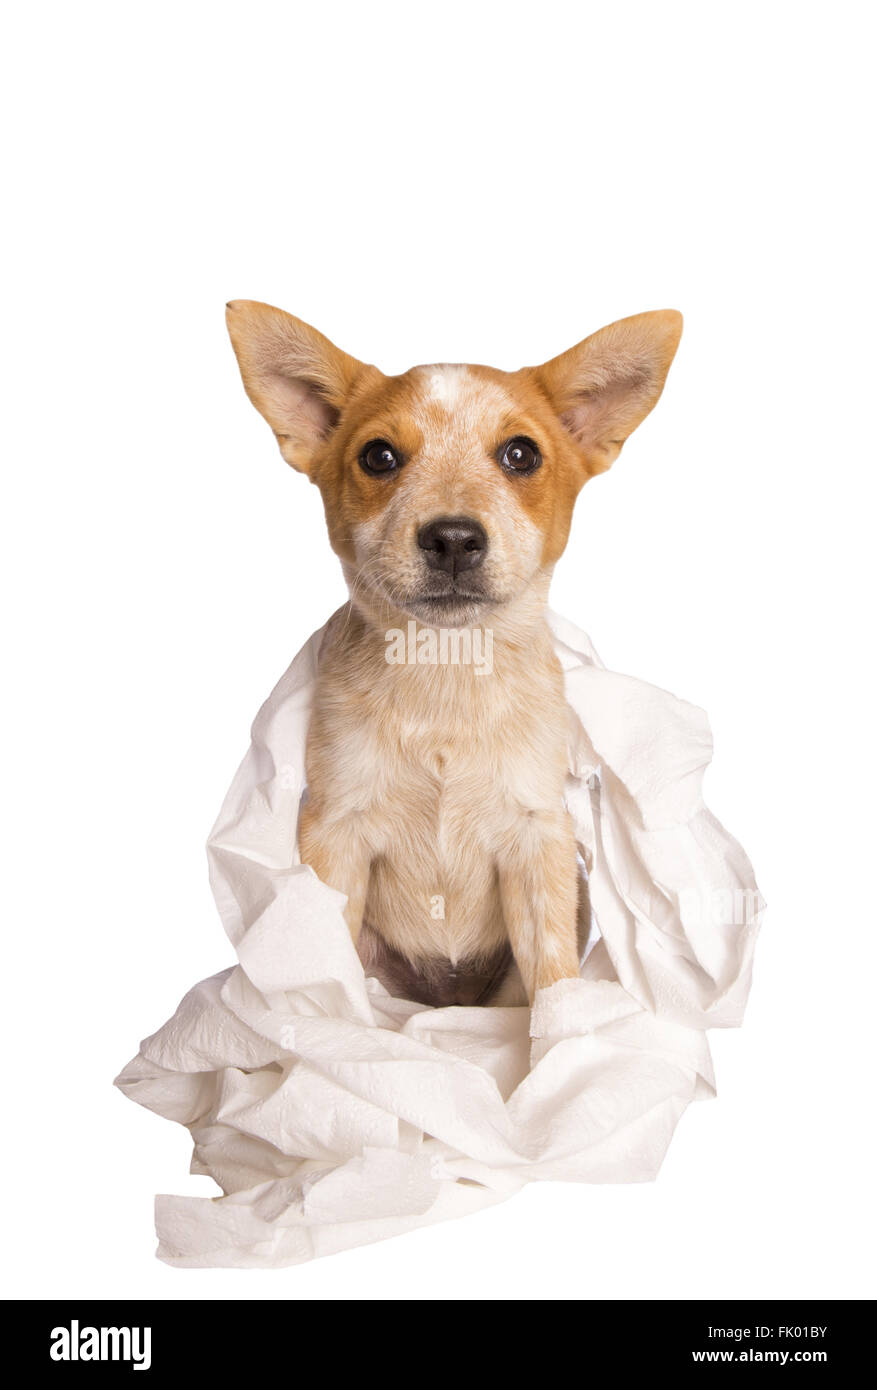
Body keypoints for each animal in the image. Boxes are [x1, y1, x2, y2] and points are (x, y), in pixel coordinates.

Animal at [225, 298, 678, 1006]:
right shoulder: (336, 835)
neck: (447, 671)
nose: (454, 538)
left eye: (521, 453)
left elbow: (553, 980)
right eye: (379, 456)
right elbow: (336, 991)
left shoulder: (537, 840)